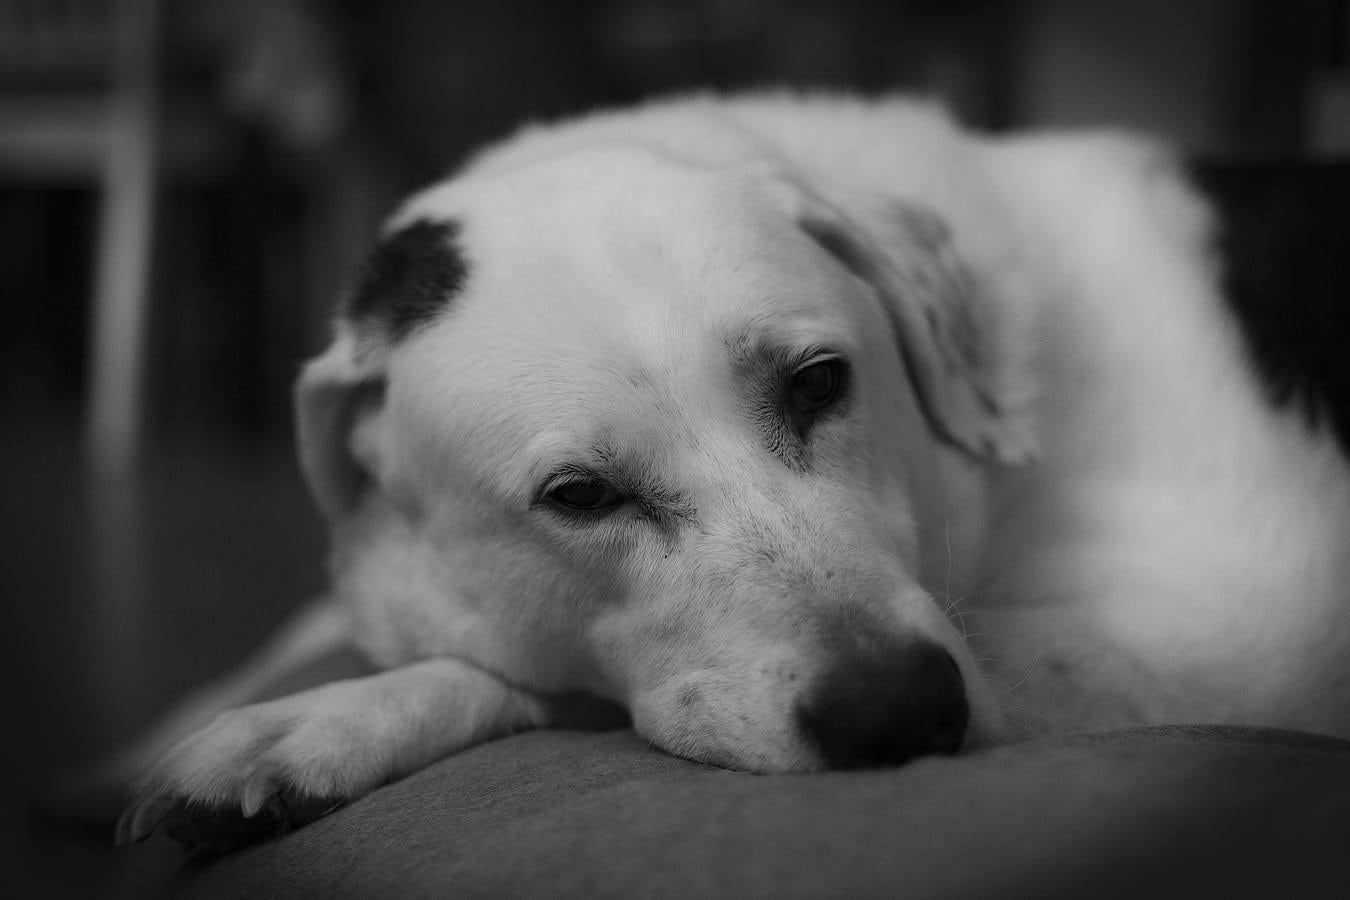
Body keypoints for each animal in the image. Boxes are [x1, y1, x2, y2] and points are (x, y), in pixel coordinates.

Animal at [113, 95, 1350, 847]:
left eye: (819, 383)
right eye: (580, 497)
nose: (900, 713)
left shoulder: (1239, 620)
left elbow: (537, 688)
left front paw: (330, 719)